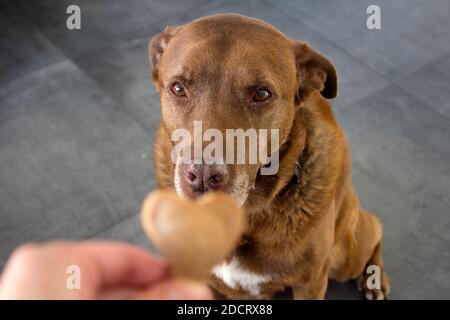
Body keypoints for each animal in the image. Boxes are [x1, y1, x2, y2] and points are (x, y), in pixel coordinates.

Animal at [149, 13, 390, 300]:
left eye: (261, 94)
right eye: (178, 88)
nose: (203, 176)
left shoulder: (310, 284)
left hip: (344, 257)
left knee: (374, 227)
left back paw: (375, 278)